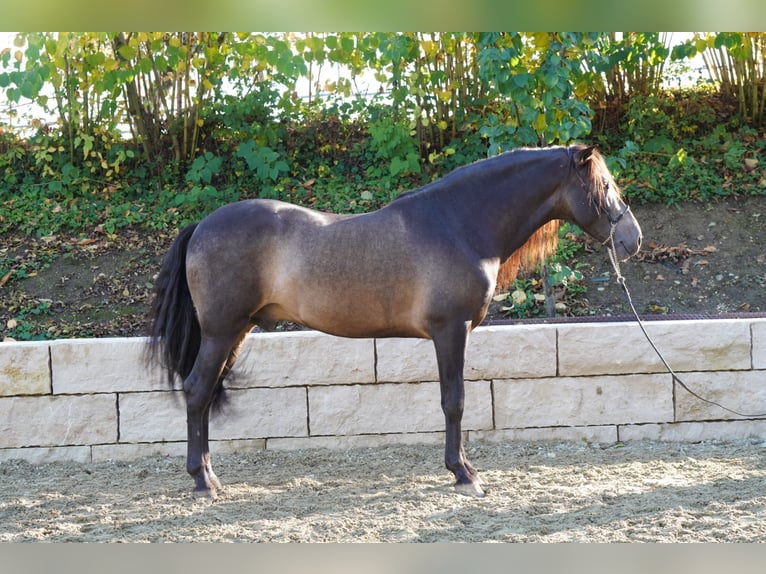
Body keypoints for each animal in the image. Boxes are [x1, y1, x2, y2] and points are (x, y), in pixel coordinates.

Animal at [147, 144, 642, 498]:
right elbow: (454, 401)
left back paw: (209, 476)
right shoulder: (450, 331)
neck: (459, 225)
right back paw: (202, 481)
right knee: (197, 391)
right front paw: (463, 474)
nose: (632, 238)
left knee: (204, 394)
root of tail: (201, 225)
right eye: (605, 185)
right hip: (221, 332)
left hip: (237, 331)